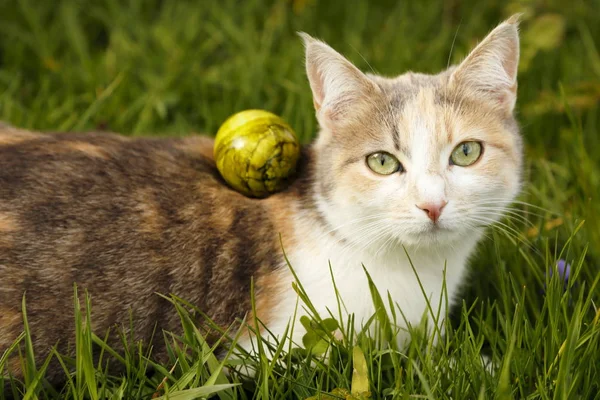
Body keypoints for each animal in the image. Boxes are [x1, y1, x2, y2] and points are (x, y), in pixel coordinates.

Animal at [0, 16, 520, 388]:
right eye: (382, 162)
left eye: (467, 153)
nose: (433, 205)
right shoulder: (263, 354)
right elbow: (375, 360)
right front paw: (477, 367)